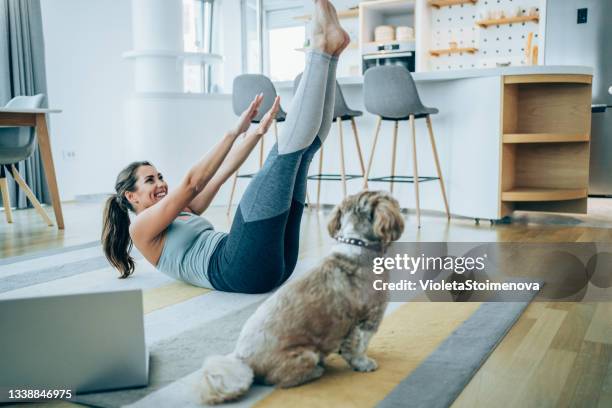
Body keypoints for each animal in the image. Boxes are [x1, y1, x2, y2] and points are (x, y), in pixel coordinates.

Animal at [198, 191, 404, 404]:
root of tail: (242, 358)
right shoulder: (368, 318)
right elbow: (360, 346)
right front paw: (364, 363)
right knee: (278, 379)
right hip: (305, 355)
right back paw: (315, 371)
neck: (356, 244)